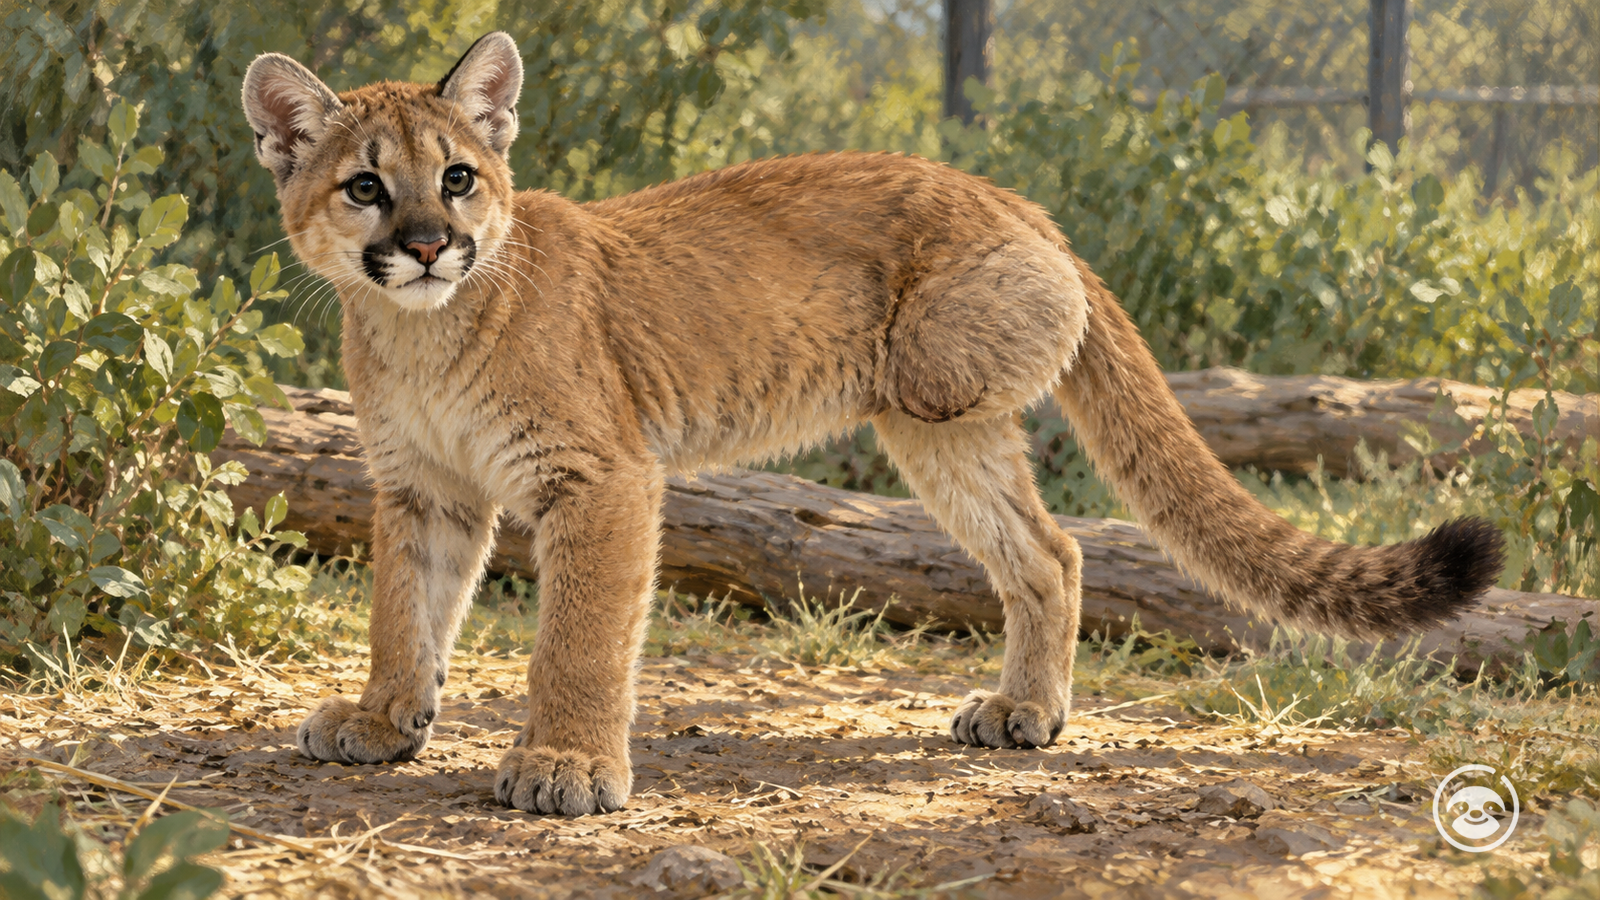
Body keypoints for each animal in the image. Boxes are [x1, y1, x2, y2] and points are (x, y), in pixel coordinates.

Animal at [240, 32, 1503, 816]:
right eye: (365, 187)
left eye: (457, 177)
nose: (426, 245)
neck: (420, 331)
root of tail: (1013, 196)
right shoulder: (424, 489)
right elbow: (404, 613)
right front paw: (386, 720)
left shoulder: (598, 478)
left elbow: (578, 638)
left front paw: (564, 767)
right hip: (941, 440)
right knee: (1050, 550)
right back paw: (1026, 713)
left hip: (930, 387)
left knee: (1018, 454)